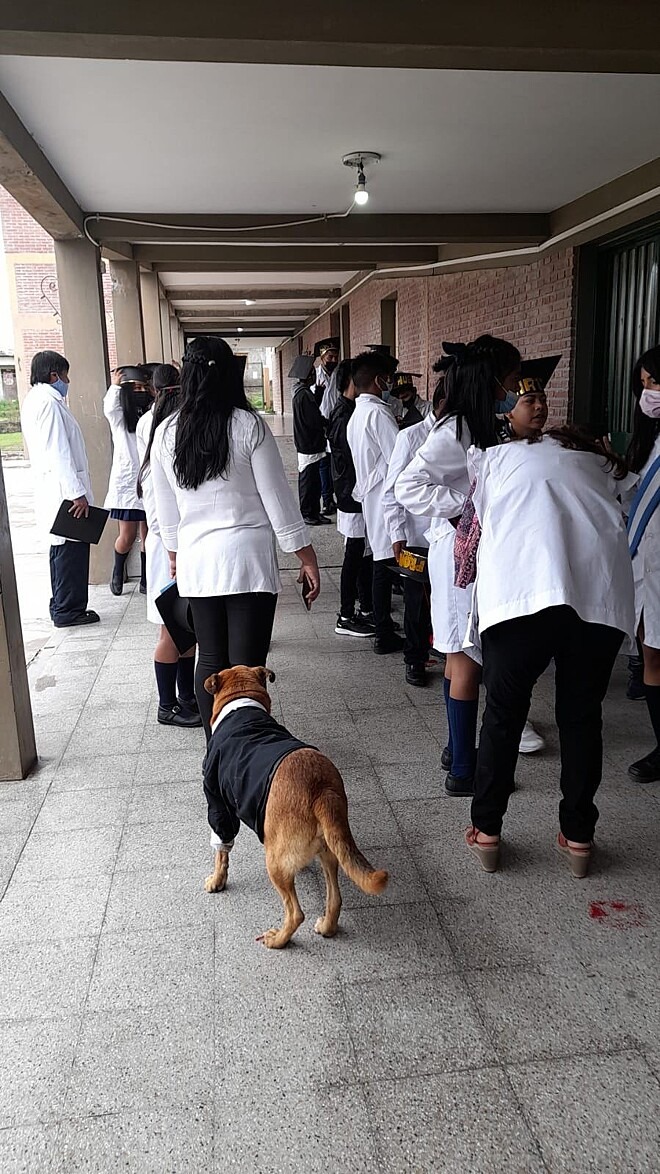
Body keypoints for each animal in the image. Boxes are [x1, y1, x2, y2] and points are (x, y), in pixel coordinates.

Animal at [201, 666, 385, 948]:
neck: (241, 704)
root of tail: (321, 790)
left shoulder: (219, 803)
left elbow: (222, 850)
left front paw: (217, 880)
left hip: (275, 864)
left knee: (296, 912)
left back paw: (278, 939)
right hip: (330, 849)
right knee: (335, 897)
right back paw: (327, 926)